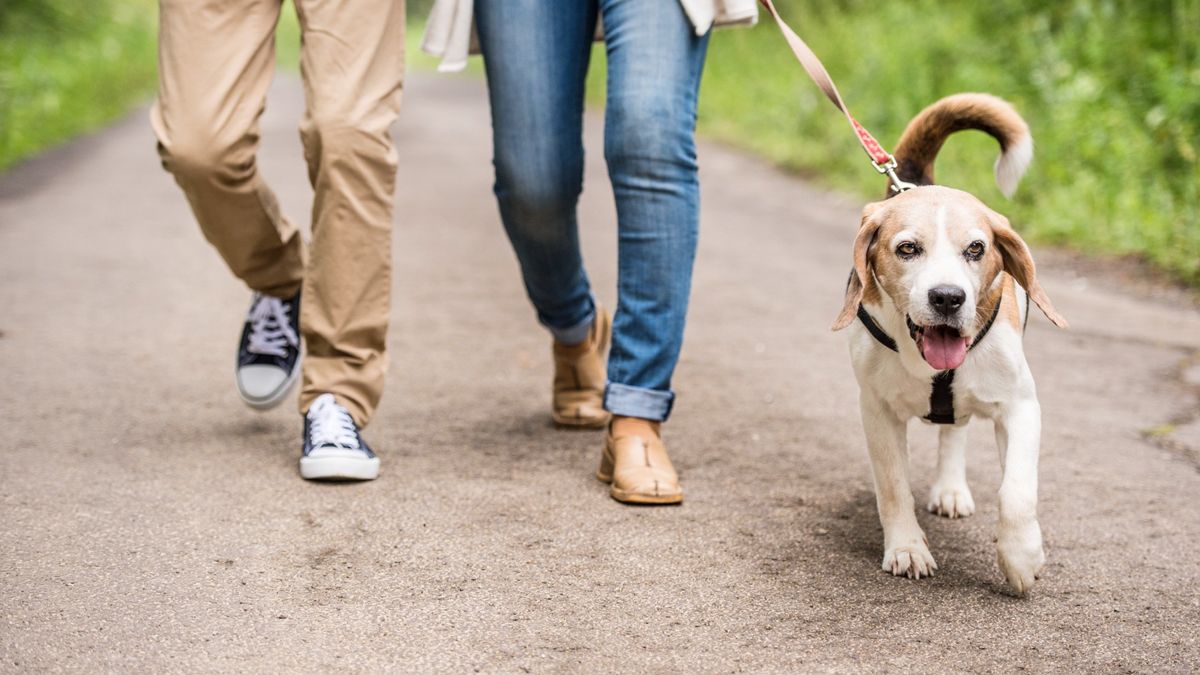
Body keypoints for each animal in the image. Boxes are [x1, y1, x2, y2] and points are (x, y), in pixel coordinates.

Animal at [835, 93, 1070, 588]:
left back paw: (950, 487)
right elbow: (893, 487)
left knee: (956, 430)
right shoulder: (876, 410)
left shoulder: (1022, 406)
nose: (947, 297)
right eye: (908, 249)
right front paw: (906, 547)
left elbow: (1017, 492)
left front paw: (1021, 556)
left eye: (976, 249)